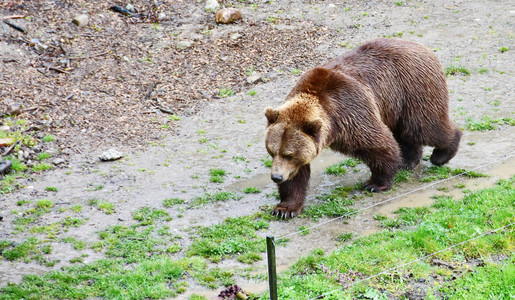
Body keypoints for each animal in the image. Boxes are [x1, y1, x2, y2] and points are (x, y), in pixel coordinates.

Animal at [264, 39, 462, 218]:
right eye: (272, 152)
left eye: (289, 154)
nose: (276, 177)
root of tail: (423, 47)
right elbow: (297, 175)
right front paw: (285, 208)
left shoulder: (350, 111)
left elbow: (377, 144)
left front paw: (375, 183)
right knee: (405, 133)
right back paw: (408, 161)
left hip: (413, 89)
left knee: (423, 127)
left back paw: (441, 154)